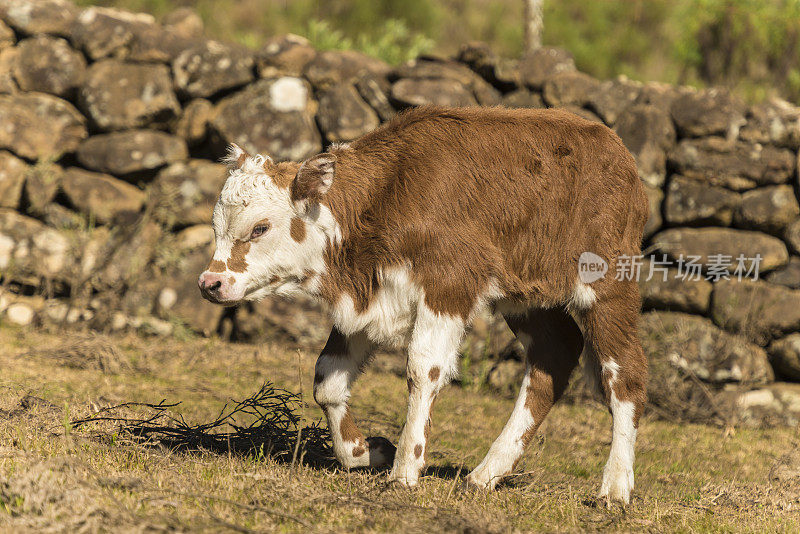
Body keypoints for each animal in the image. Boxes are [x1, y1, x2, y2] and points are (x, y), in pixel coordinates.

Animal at [198, 107, 648, 504]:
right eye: (217, 226)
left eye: (260, 227)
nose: (210, 283)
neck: (382, 199)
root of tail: (613, 146)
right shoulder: (368, 297)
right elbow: (327, 379)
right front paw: (364, 452)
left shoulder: (448, 284)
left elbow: (422, 369)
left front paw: (405, 470)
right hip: (525, 295)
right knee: (555, 353)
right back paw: (486, 473)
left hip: (607, 283)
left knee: (624, 374)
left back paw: (615, 487)